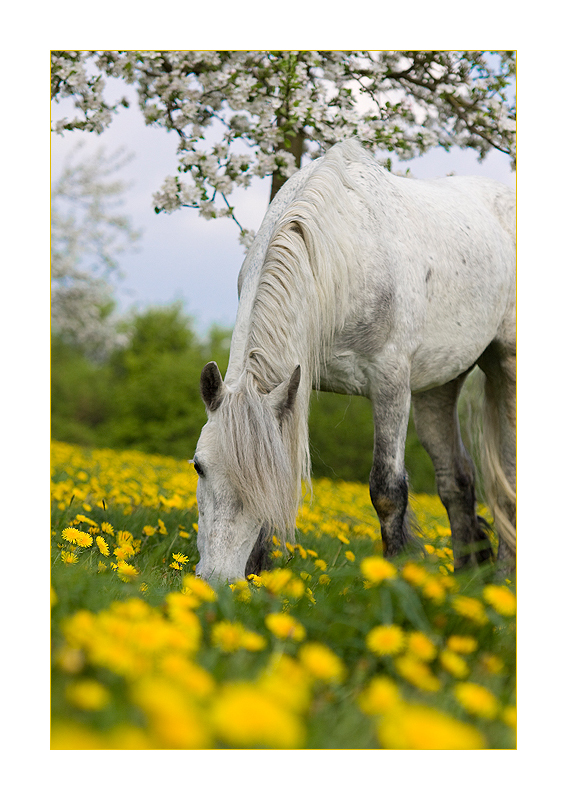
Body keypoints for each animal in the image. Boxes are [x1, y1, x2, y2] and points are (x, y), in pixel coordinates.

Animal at [193, 141, 516, 584]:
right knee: (457, 481)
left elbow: (387, 491)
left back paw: (500, 579)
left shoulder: (391, 384)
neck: (341, 250)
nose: (217, 580)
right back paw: (464, 581)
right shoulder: (297, 388)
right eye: (198, 467)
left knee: (507, 482)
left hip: (507, 367)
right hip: (438, 387)